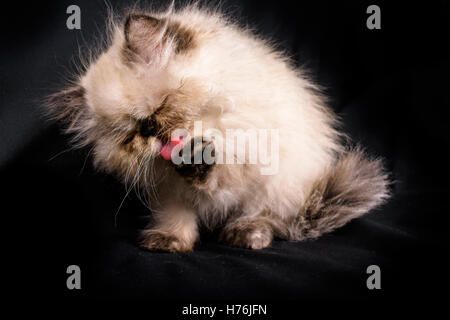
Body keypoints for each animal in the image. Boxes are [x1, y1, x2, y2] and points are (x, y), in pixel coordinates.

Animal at [46, 3, 390, 251]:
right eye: (134, 133)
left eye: (163, 105)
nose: (153, 130)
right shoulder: (169, 190)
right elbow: (177, 216)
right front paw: (170, 241)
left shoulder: (250, 150)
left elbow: (221, 175)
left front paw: (198, 159)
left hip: (283, 184)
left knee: (270, 218)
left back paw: (247, 234)